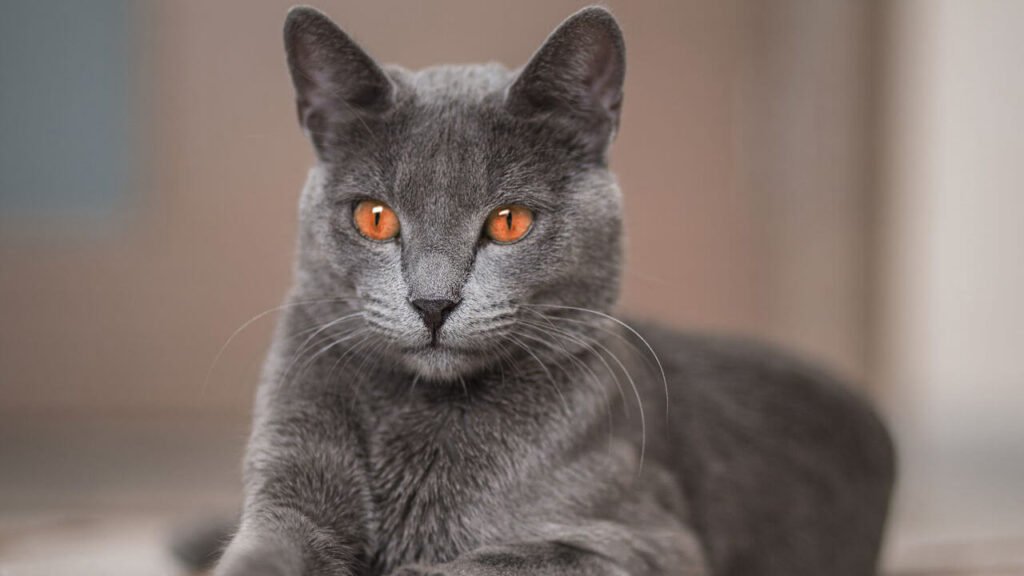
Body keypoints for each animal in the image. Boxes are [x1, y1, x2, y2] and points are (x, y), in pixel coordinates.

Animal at [209, 5, 897, 573]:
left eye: (509, 221)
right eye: (375, 217)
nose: (433, 303)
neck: (416, 413)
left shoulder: (643, 541)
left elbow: (475, 566)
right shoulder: (285, 490)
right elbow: (262, 554)